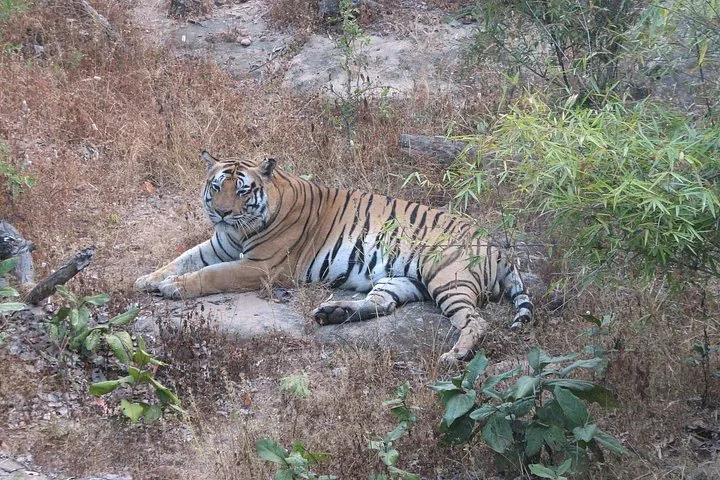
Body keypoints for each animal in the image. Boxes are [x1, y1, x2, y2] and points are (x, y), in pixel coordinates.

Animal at [134, 151, 533, 363]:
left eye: (242, 191)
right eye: (216, 187)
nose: (220, 213)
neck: (239, 229)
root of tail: (496, 246)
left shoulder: (260, 267)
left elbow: (211, 275)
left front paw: (173, 288)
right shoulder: (218, 245)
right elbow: (182, 258)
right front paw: (148, 279)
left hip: (447, 279)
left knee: (476, 321)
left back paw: (456, 355)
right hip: (401, 279)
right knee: (382, 304)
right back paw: (333, 313)